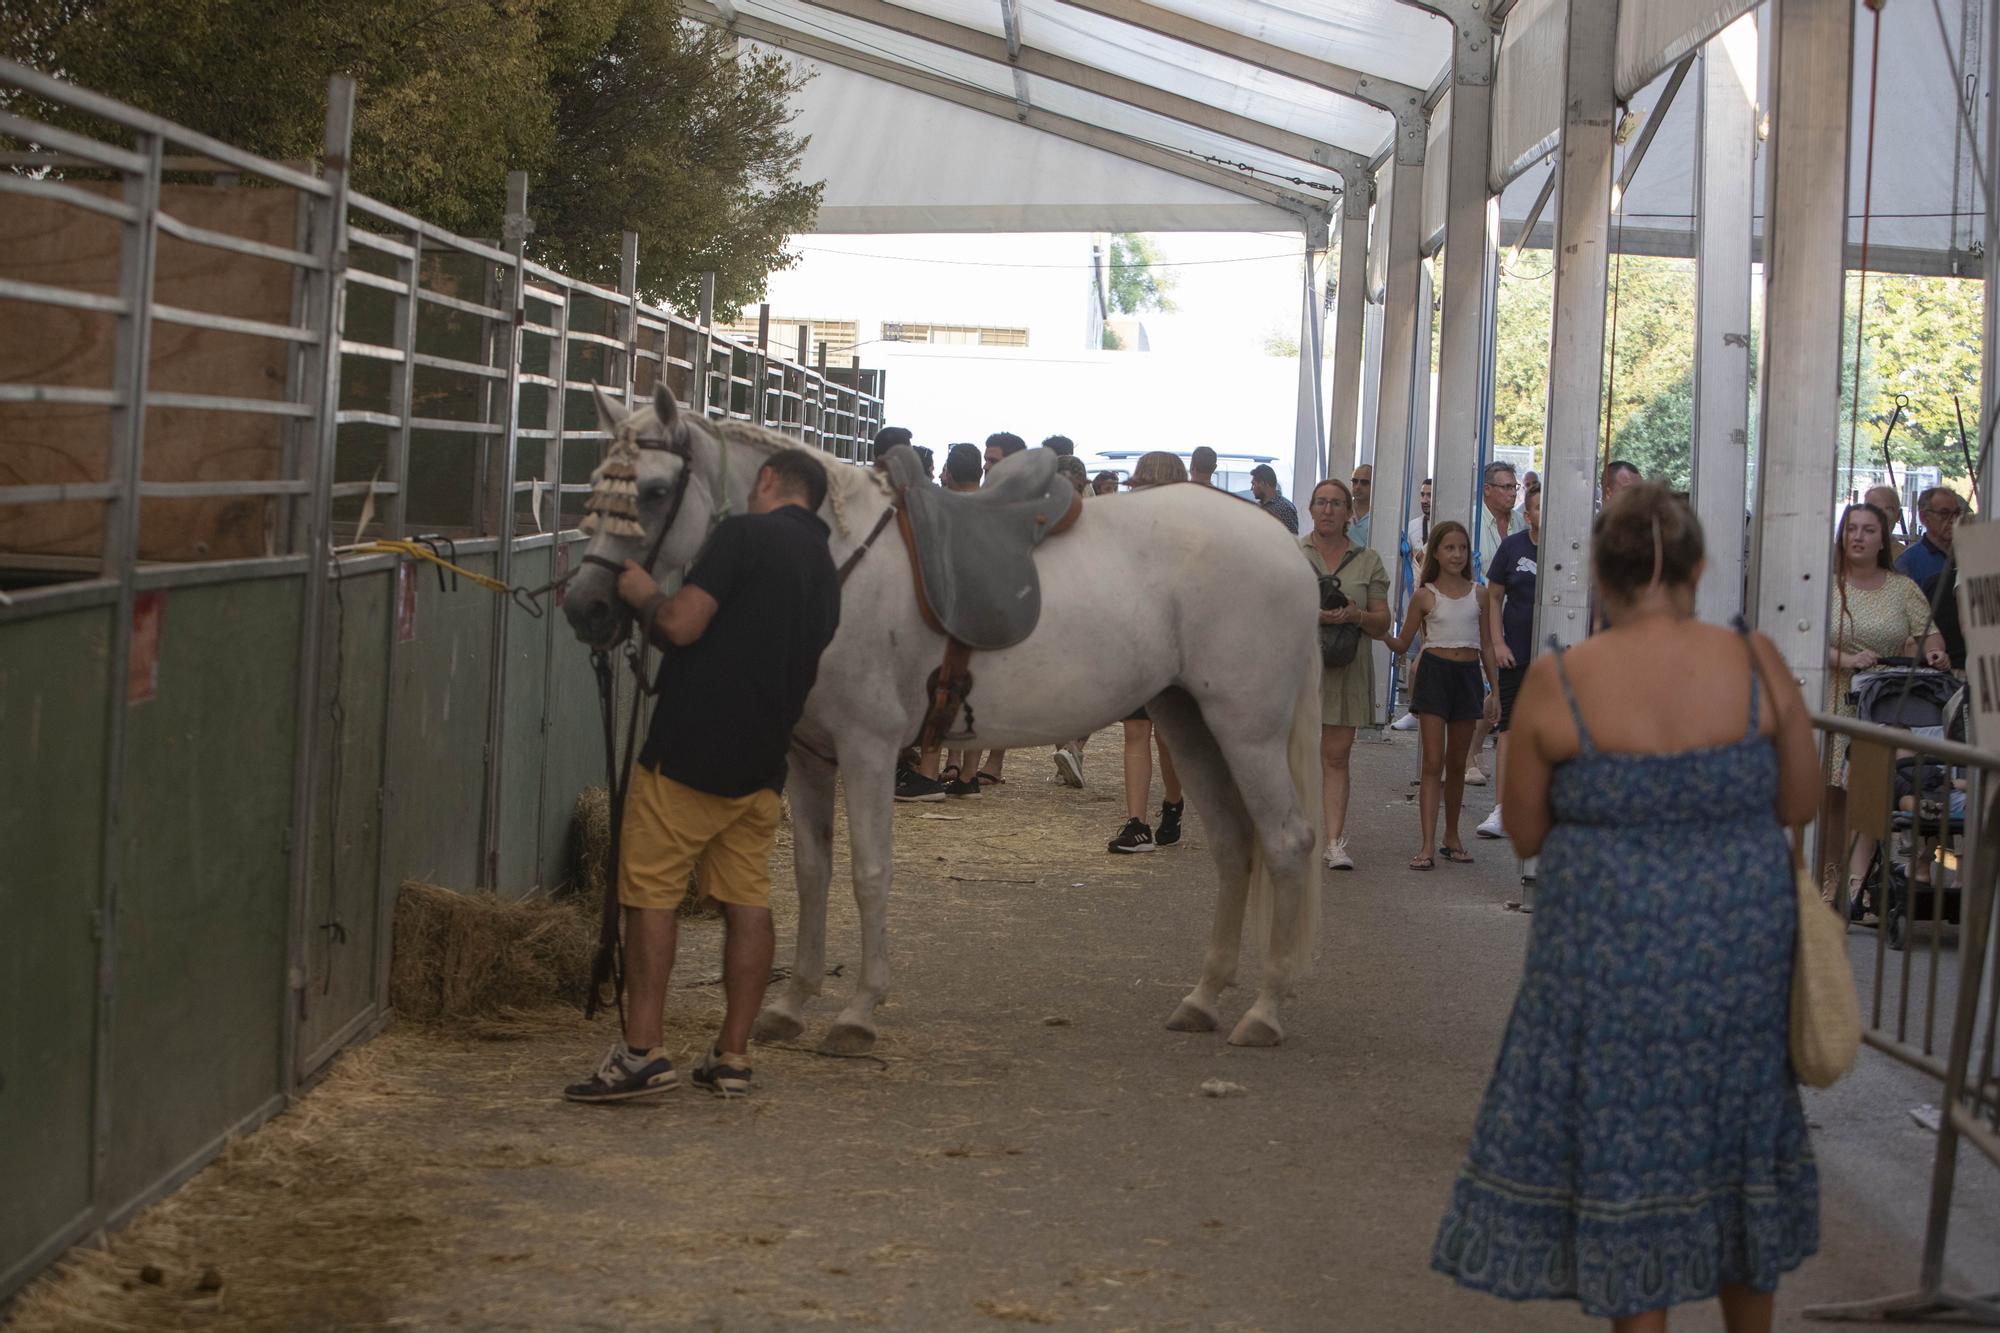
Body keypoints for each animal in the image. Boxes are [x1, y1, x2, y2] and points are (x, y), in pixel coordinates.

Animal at [564, 384, 1320, 1048]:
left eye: (654, 491)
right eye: (596, 485)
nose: (586, 606)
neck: (829, 557)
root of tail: (1285, 546)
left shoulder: (868, 748)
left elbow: (870, 872)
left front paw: (858, 1012)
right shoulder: (810, 755)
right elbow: (813, 874)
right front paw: (790, 1004)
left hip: (1246, 731)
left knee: (1286, 842)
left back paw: (1266, 1011)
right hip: (1188, 721)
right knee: (1234, 845)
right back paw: (1204, 998)